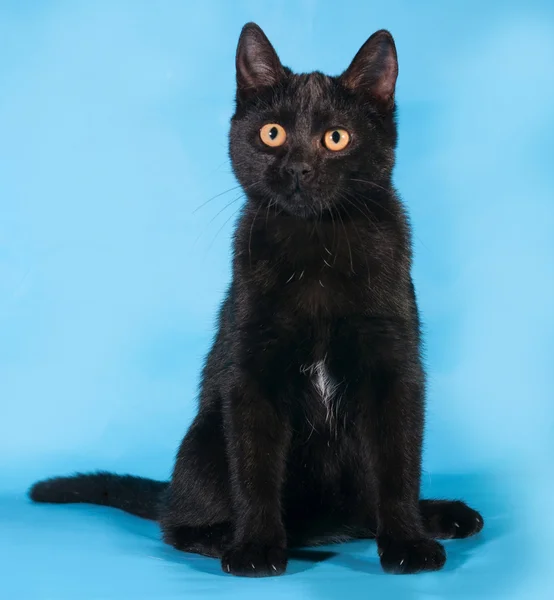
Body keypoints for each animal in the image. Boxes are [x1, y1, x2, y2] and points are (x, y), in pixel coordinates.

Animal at [29, 22, 484, 576]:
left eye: (336, 138)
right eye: (273, 134)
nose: (298, 168)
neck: (317, 248)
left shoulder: (395, 366)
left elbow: (399, 465)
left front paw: (408, 543)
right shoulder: (251, 372)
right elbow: (255, 467)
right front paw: (256, 548)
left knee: (368, 504)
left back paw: (440, 516)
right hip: (204, 440)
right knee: (178, 524)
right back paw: (248, 539)